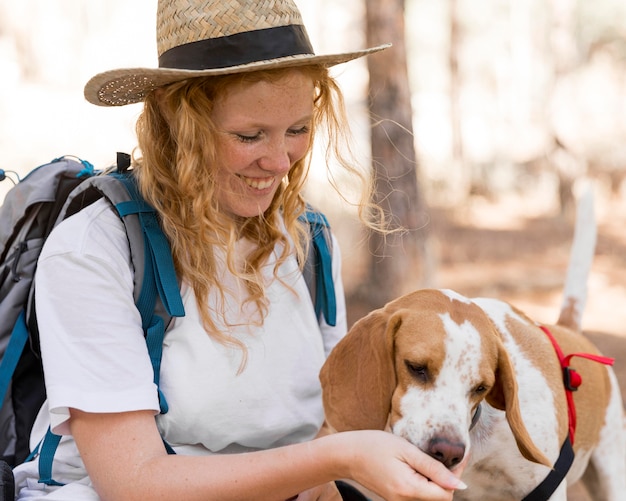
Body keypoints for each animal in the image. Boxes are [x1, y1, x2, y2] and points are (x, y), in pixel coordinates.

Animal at [320, 189, 620, 498]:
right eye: (416, 368)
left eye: (481, 388)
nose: (448, 451)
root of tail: (567, 328)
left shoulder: (548, 487)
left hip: (611, 472)